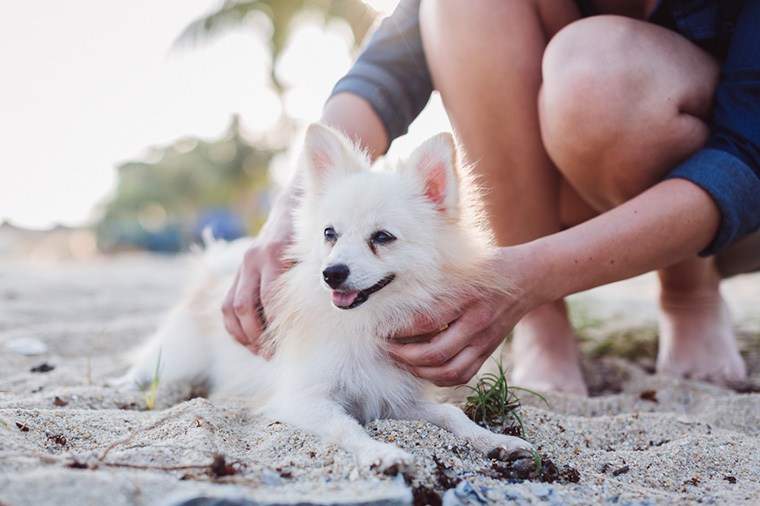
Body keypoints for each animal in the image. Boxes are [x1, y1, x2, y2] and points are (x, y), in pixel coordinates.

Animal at [120, 122, 536, 470]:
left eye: (382, 237)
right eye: (329, 234)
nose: (332, 273)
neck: (366, 323)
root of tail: (213, 270)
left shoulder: (399, 397)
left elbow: (452, 414)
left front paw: (495, 440)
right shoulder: (306, 399)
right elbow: (347, 427)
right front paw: (380, 452)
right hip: (177, 357)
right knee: (147, 368)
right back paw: (125, 387)